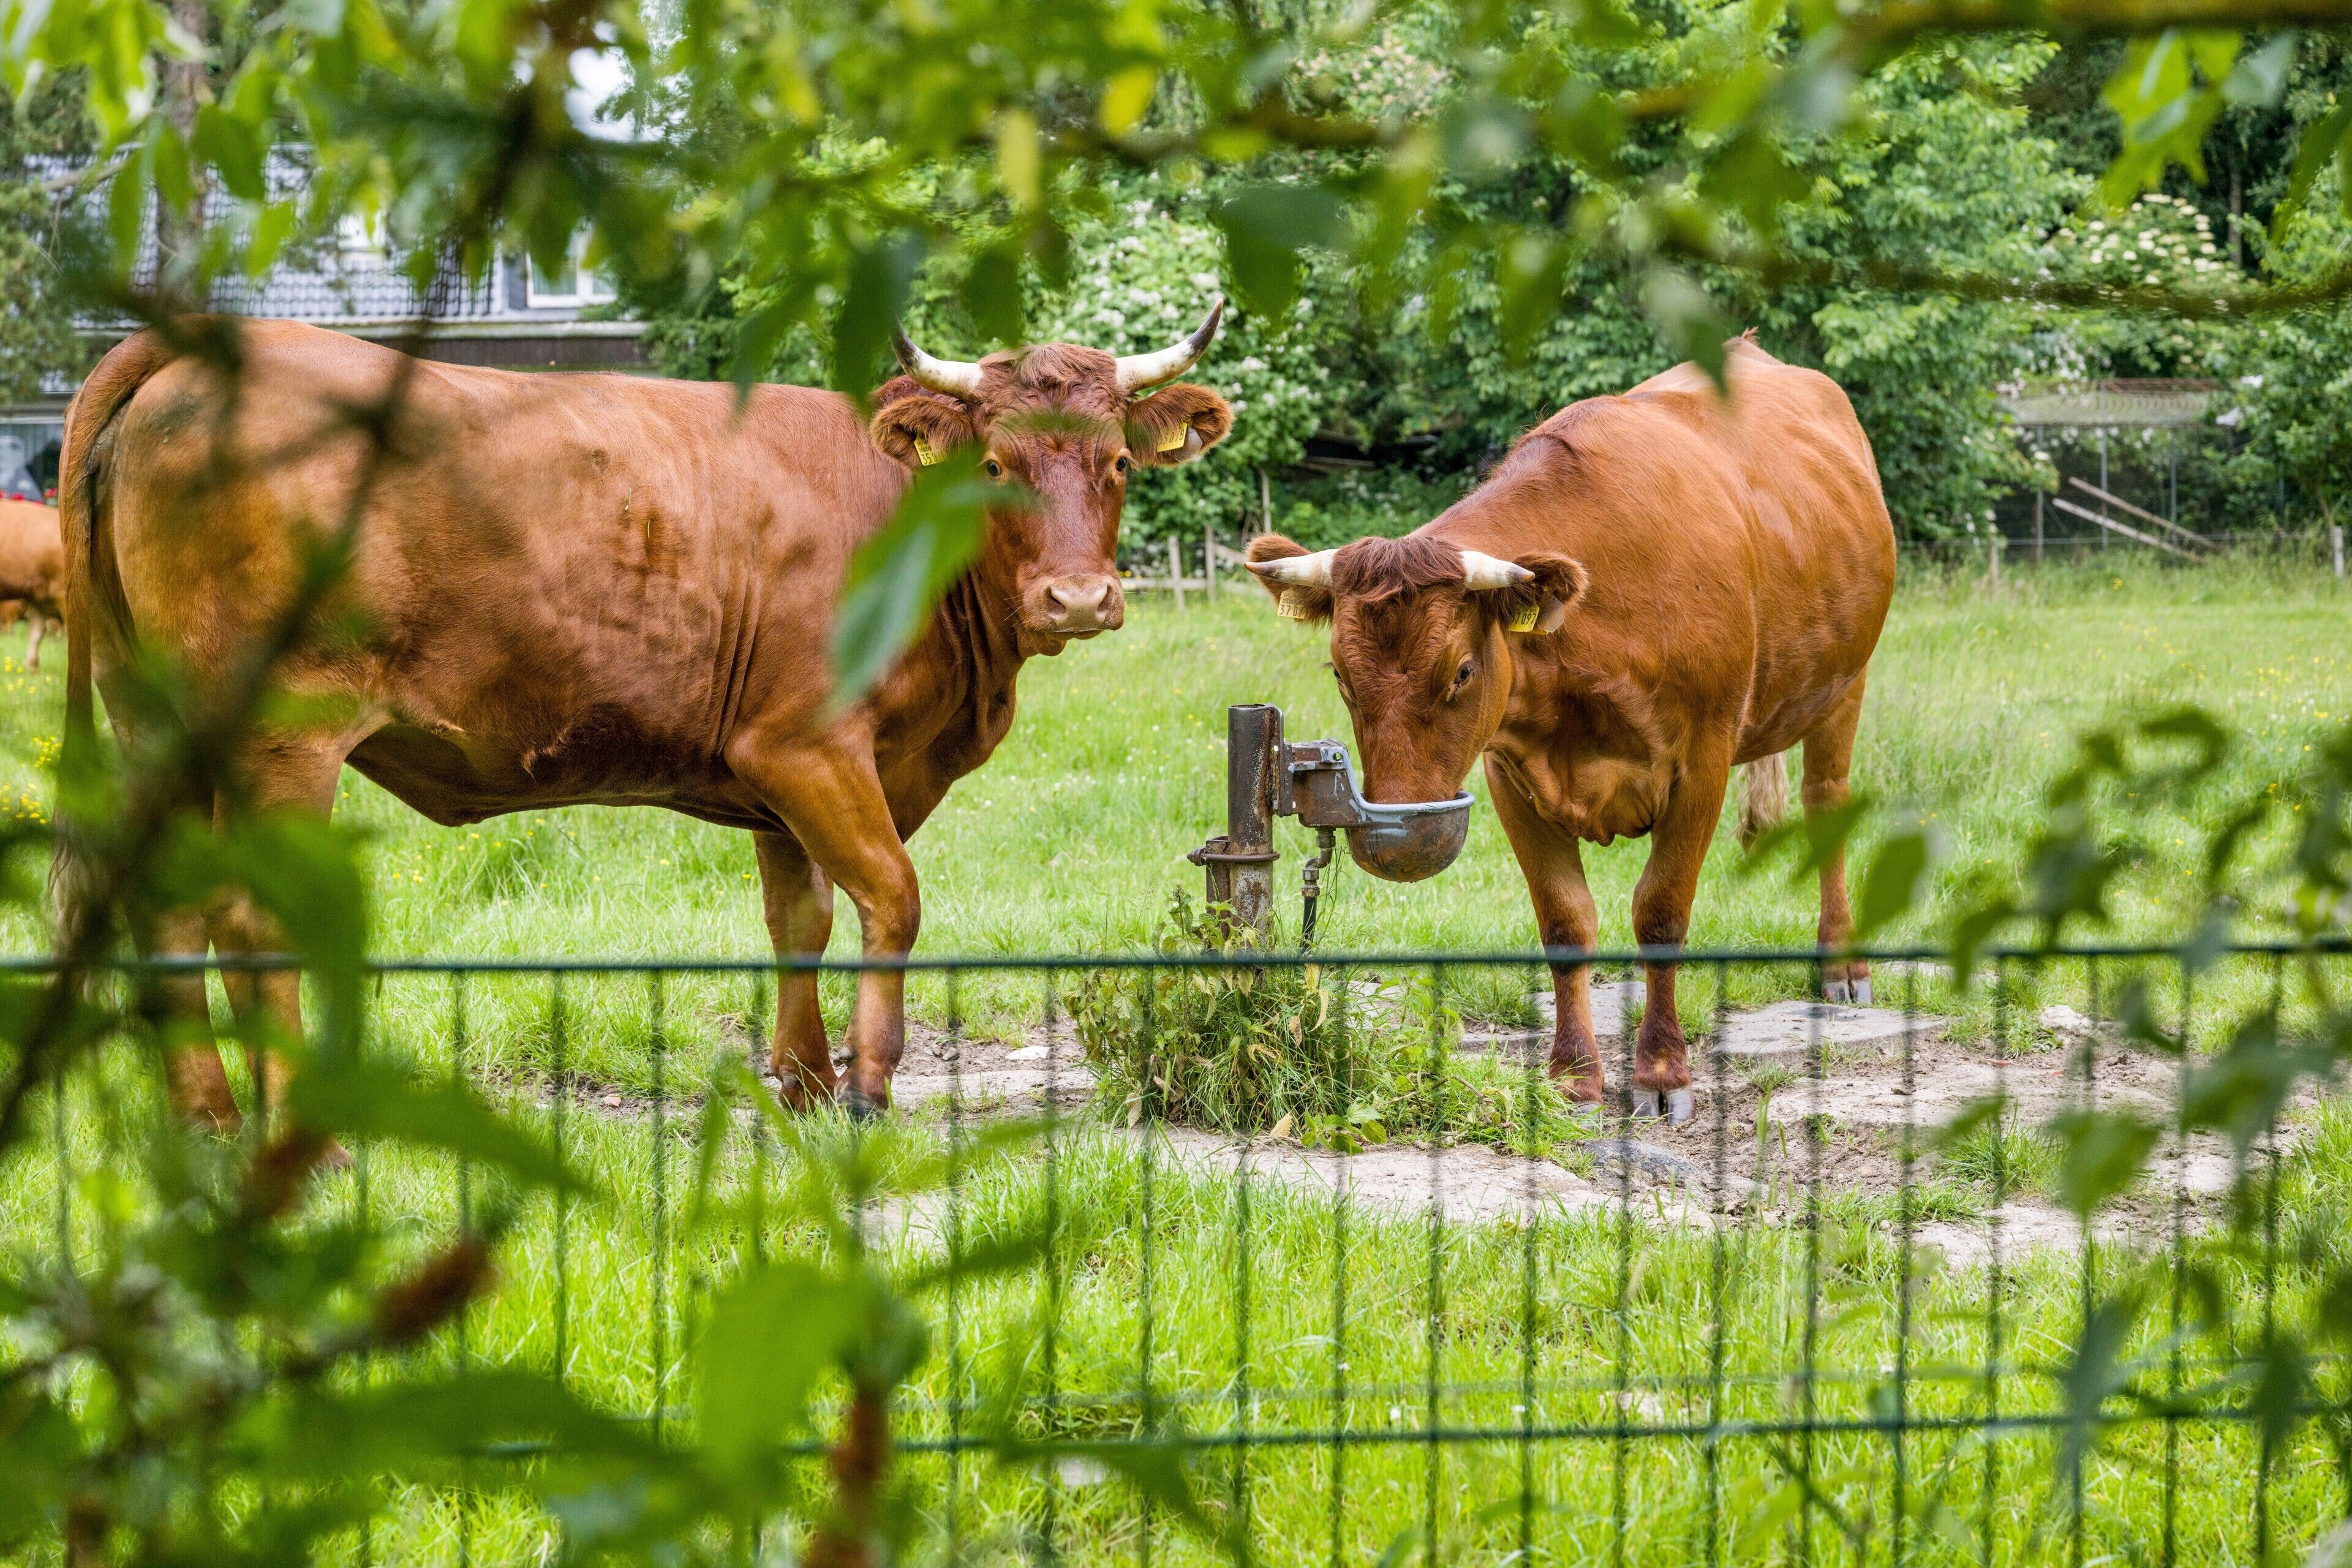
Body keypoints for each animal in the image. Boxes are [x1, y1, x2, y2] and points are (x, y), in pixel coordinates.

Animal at [59, 307, 1230, 1126]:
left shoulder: (780, 780)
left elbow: (799, 918)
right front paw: (865, 1086)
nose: (1077, 599)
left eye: (1118, 464)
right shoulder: (810, 745)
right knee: (252, 923)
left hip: (158, 723)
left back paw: (210, 1122)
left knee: (169, 912)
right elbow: (889, 899)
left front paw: (804, 1086)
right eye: (994, 466)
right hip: (278, 738)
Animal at [1245, 337, 1895, 1121]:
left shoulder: (1703, 762)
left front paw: (1662, 1070)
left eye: (1463, 671)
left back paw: (1841, 963)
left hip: (1845, 685)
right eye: (1340, 672)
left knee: (1827, 802)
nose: (1396, 840)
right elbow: (1564, 924)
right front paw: (1575, 1075)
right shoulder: (1509, 774)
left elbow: (1661, 915)